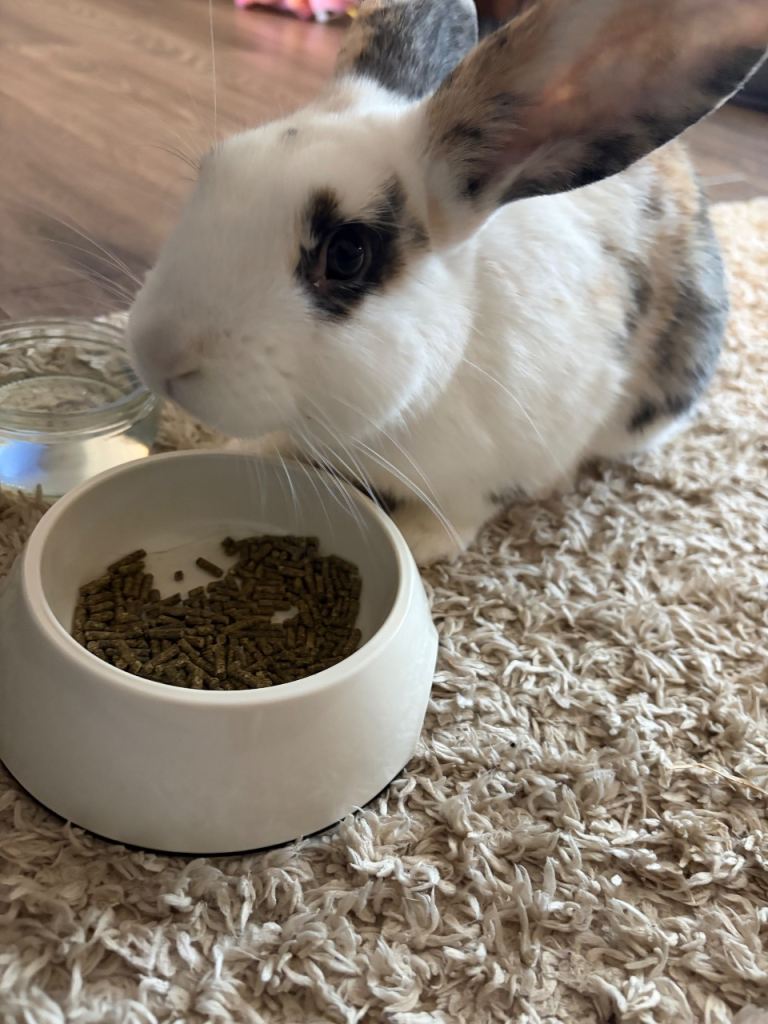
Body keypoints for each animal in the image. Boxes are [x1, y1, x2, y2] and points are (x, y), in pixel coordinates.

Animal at [127, 0, 768, 565]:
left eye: (347, 254)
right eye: (212, 171)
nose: (158, 352)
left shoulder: (497, 466)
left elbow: (460, 513)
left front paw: (416, 542)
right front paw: (240, 449)